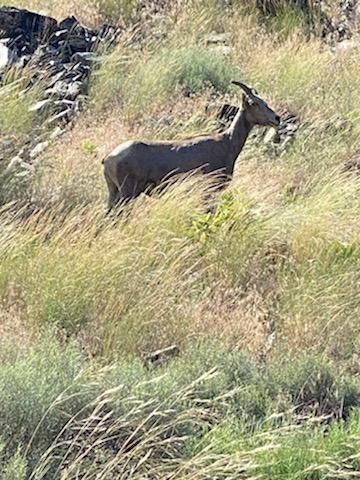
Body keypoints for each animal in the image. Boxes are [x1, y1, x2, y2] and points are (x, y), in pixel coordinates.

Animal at [102, 81, 280, 211]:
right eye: (253, 103)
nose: (276, 118)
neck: (227, 143)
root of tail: (109, 158)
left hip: (114, 192)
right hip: (127, 194)